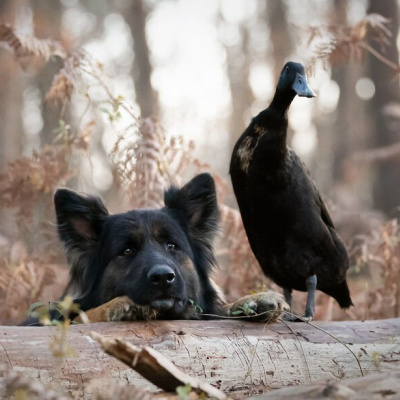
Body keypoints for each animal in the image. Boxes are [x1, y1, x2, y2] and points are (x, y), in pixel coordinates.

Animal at [29, 173, 290, 324]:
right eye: (126, 251)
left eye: (172, 245)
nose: (163, 277)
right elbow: (81, 314)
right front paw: (116, 305)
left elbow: (216, 310)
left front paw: (251, 301)